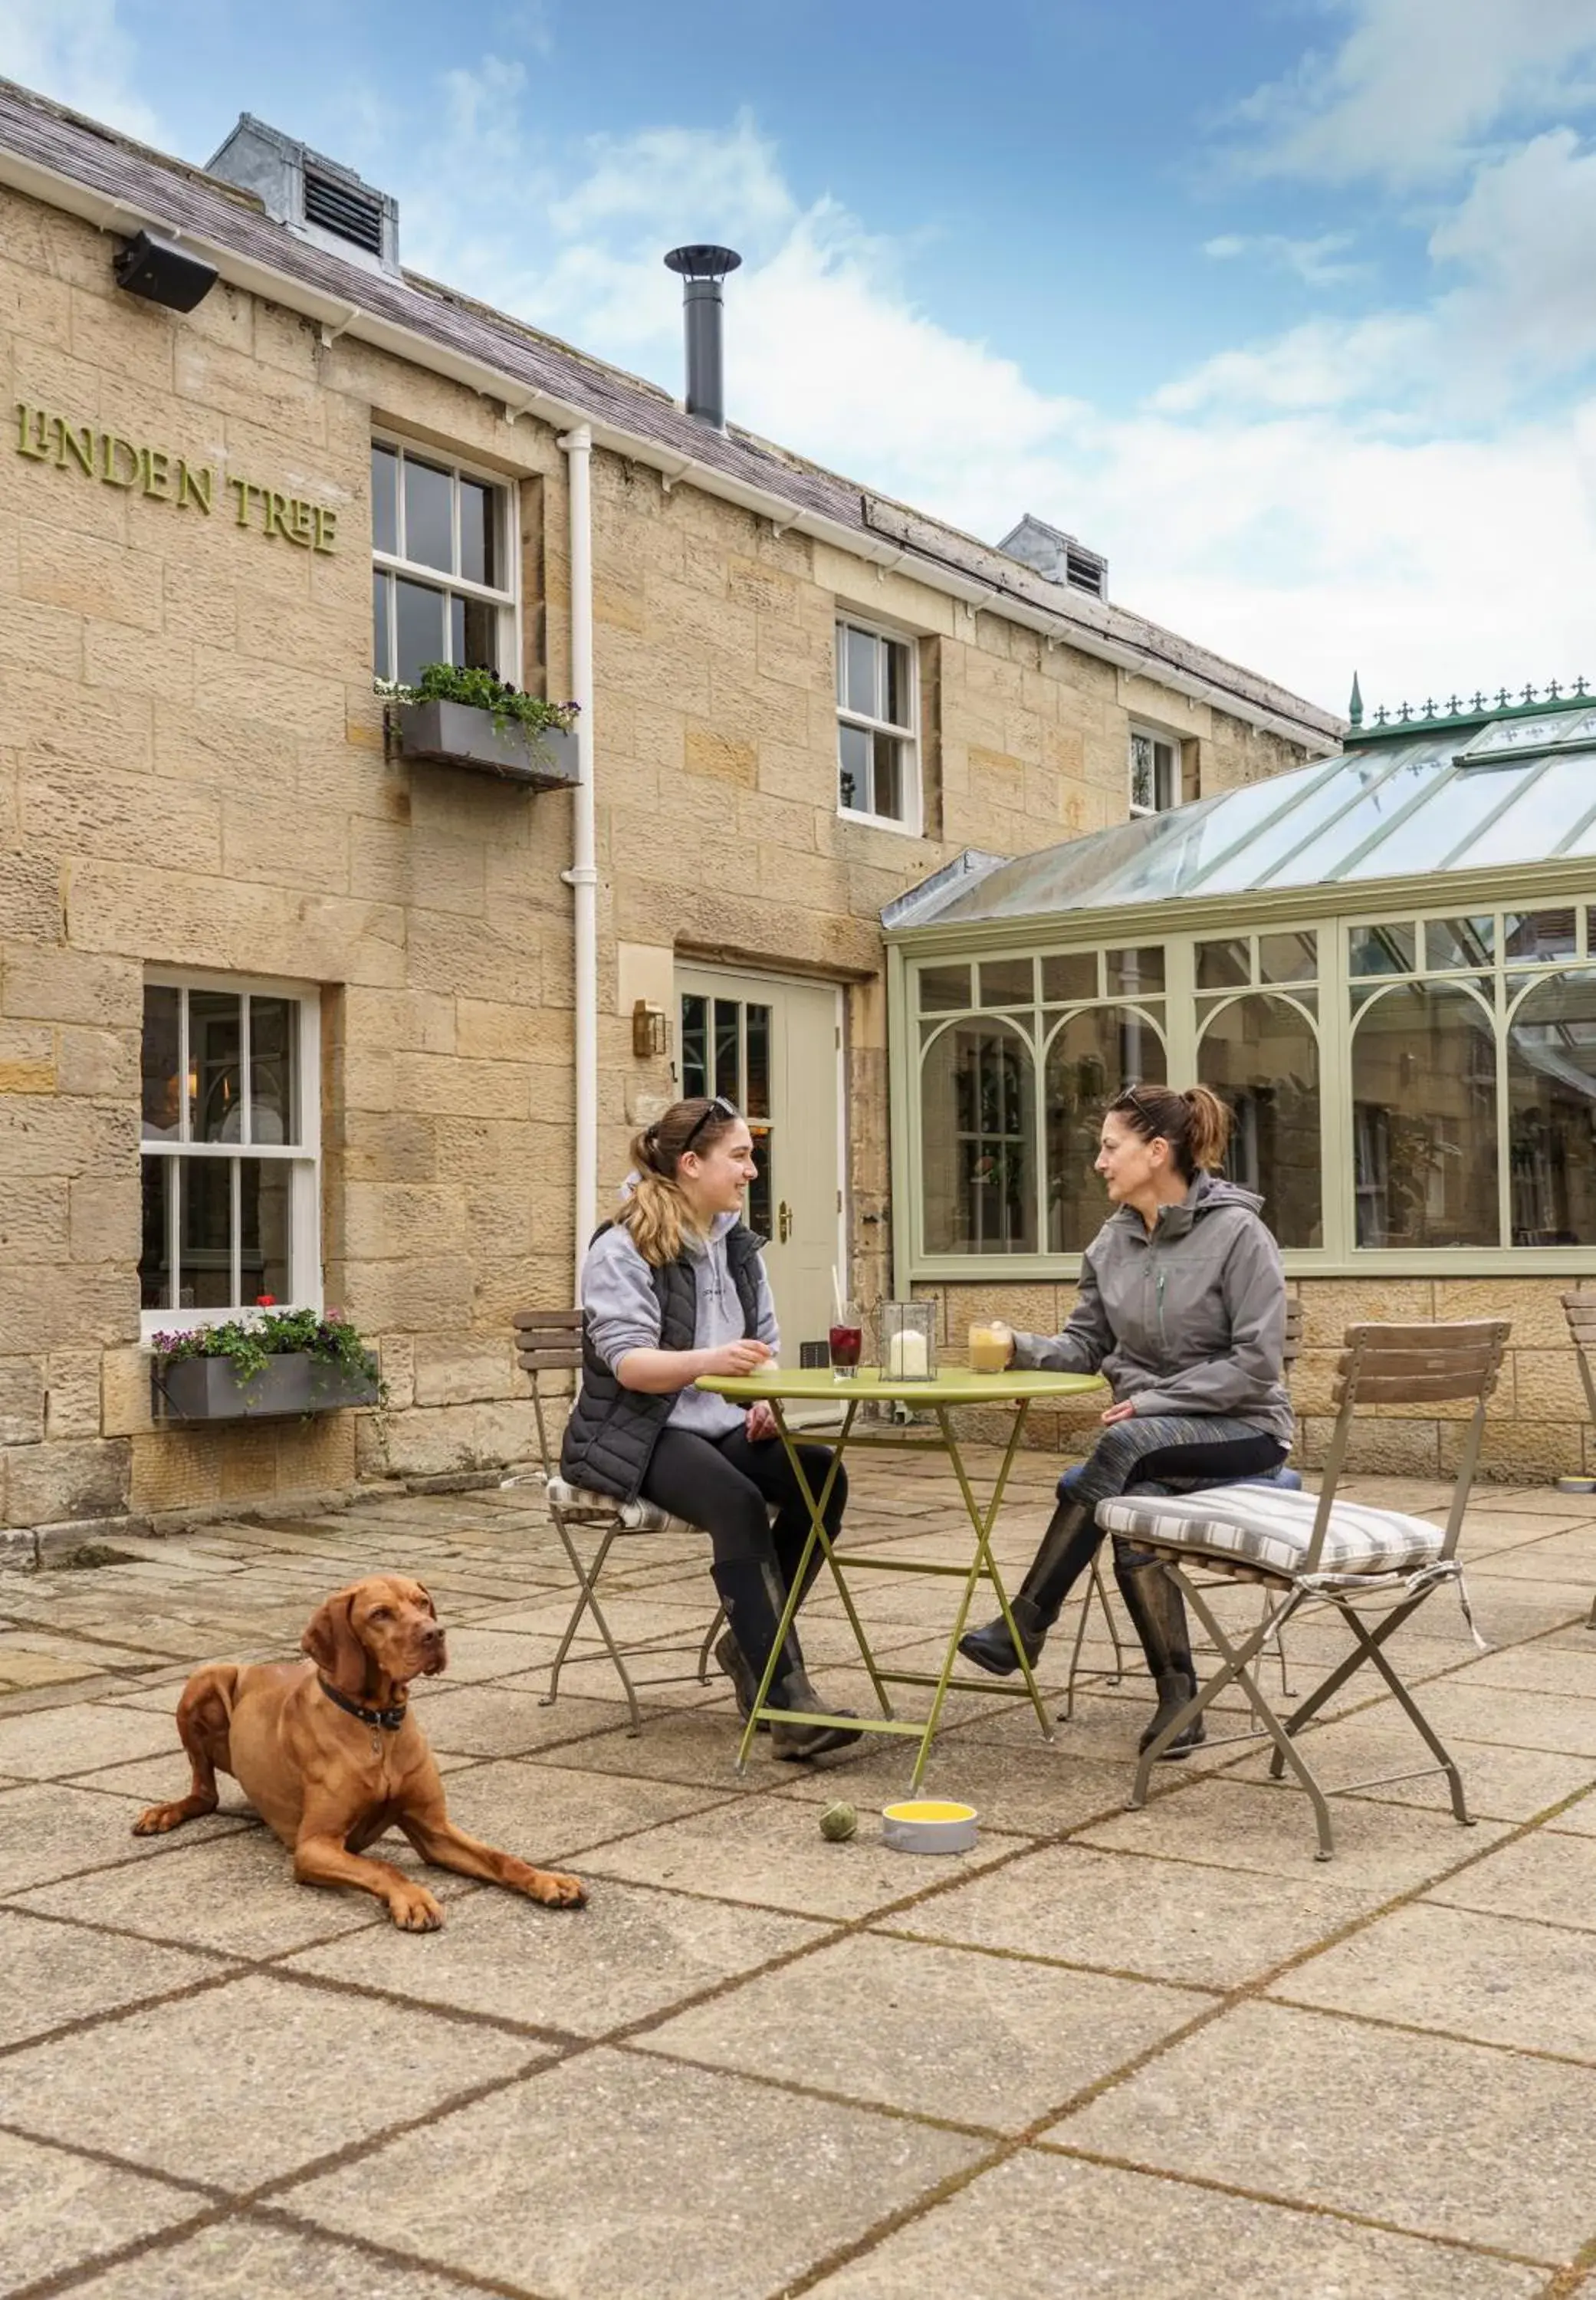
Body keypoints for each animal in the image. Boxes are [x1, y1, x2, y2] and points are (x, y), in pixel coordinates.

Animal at [134, 1573, 589, 1932]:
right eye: (380, 1614)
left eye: (422, 1603)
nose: (435, 1634)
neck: (376, 1723)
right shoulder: (314, 1845)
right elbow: (382, 1866)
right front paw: (413, 1898)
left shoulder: (434, 1829)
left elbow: (501, 1857)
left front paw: (549, 1880)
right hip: (205, 1678)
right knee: (205, 1793)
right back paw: (164, 1813)